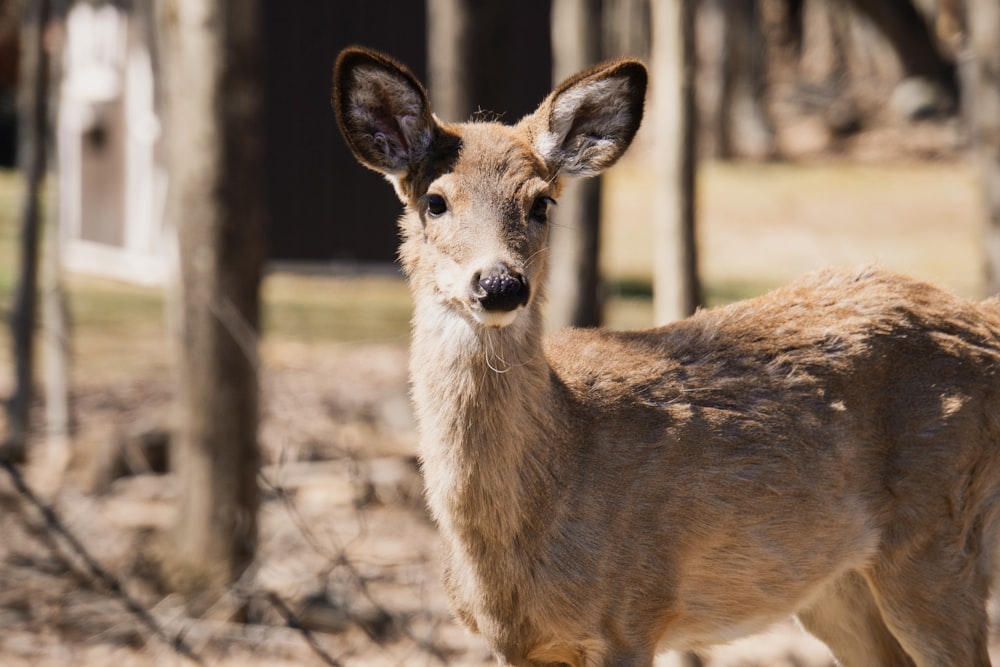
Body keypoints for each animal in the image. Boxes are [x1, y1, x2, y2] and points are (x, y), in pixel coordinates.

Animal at [332, 44, 1000, 664]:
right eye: (435, 201)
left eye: (541, 202)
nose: (500, 284)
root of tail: (984, 320)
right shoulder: (511, 642)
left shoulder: (632, 609)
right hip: (835, 585)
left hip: (939, 534)